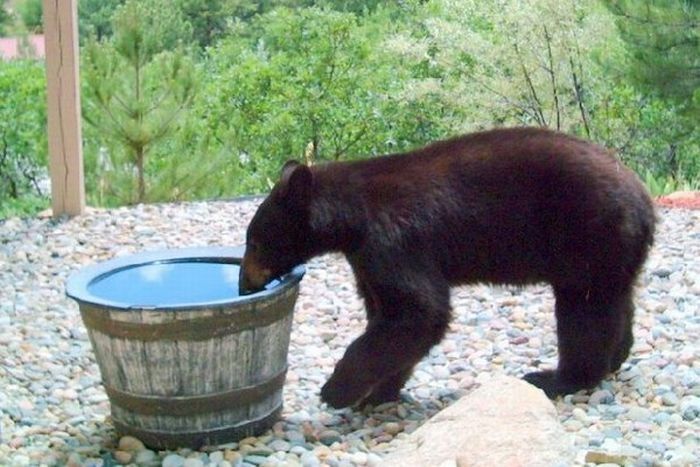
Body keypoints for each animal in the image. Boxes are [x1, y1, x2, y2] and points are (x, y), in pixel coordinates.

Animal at [241, 128, 656, 410]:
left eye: (255, 242)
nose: (245, 284)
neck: (351, 217)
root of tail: (644, 201)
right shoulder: (365, 257)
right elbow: (388, 317)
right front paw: (378, 391)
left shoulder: (393, 241)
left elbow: (418, 311)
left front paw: (337, 390)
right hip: (612, 250)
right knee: (617, 300)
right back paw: (615, 357)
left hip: (587, 234)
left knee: (583, 310)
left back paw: (559, 378)